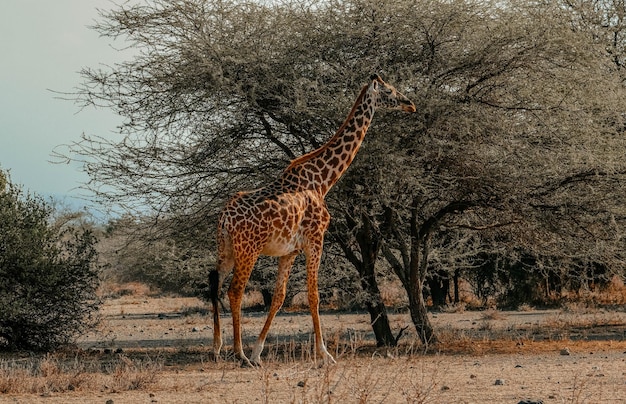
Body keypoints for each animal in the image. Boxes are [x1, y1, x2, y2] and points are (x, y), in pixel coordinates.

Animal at [210, 73, 414, 366]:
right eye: (389, 91)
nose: (411, 105)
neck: (322, 181)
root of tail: (225, 217)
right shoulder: (315, 240)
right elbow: (313, 295)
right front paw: (325, 353)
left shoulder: (290, 251)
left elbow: (279, 297)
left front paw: (259, 350)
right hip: (248, 250)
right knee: (235, 291)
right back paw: (239, 353)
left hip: (225, 248)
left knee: (215, 285)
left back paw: (218, 348)